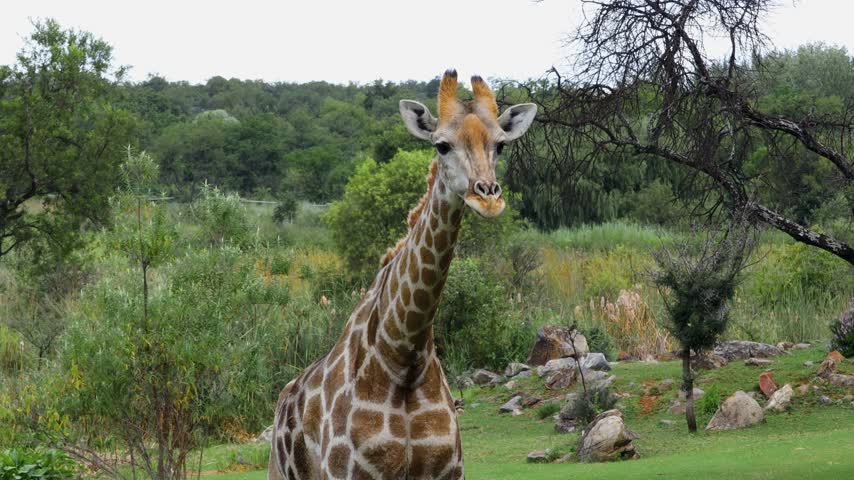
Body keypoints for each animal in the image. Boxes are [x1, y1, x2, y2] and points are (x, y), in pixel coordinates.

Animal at [268, 69, 537, 480]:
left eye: (501, 146)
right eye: (441, 145)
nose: (488, 197)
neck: (402, 358)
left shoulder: (449, 472)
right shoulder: (350, 473)